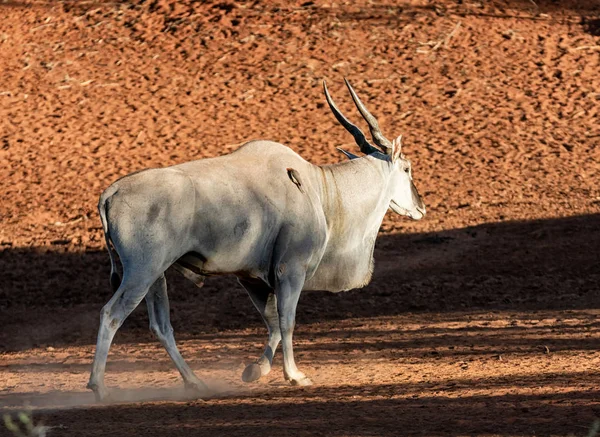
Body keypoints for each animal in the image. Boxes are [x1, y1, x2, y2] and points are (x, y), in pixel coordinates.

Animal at [88, 79, 426, 402]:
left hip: (156, 277)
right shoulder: (290, 270)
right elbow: (286, 320)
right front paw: (295, 375)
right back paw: (98, 387)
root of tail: (110, 193)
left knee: (161, 326)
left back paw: (195, 382)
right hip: (141, 273)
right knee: (111, 314)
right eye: (407, 168)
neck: (318, 187)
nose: (421, 207)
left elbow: (272, 323)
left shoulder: (252, 278)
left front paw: (255, 370)